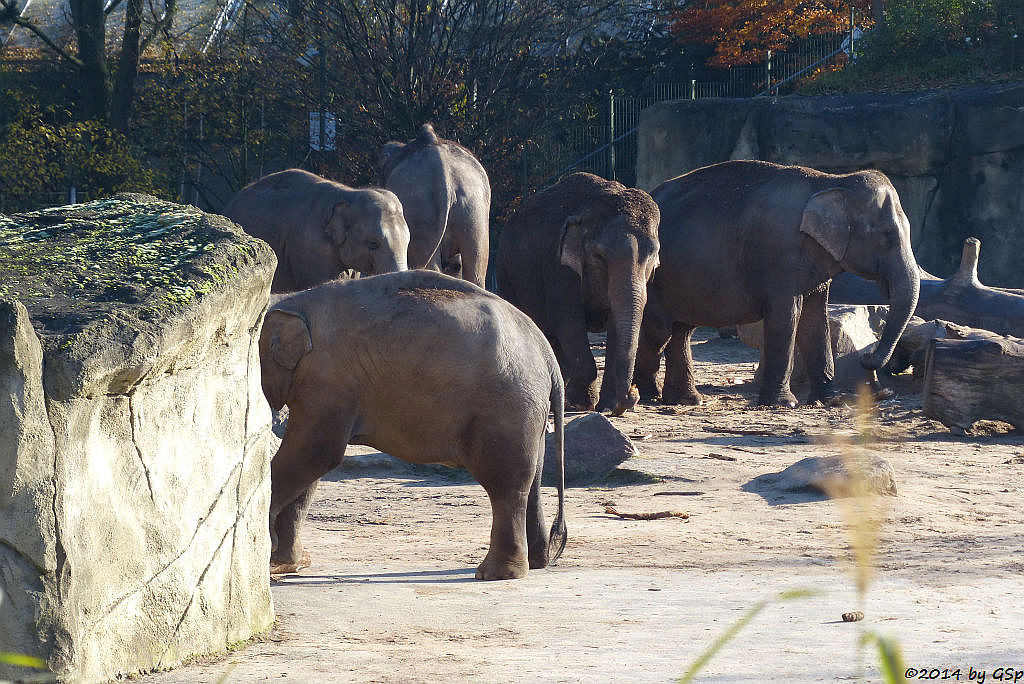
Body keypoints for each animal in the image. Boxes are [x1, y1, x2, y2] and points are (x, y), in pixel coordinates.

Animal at [260, 270, 569, 581]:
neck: (291, 299)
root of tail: (548, 356)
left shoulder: (327, 379)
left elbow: (316, 454)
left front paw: (270, 558)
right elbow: (310, 469)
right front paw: (287, 564)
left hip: (505, 406)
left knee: (505, 484)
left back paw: (495, 574)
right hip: (529, 411)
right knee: (532, 480)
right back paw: (537, 561)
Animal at [497, 174, 659, 413]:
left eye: (652, 255)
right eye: (599, 255)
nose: (634, 392)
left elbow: (616, 322)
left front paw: (606, 407)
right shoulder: (559, 267)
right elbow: (566, 317)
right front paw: (581, 402)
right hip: (505, 273)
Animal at [638, 158, 921, 405]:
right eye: (887, 235)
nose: (866, 356)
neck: (830, 181)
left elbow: (814, 319)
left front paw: (831, 401)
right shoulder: (777, 253)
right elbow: (787, 316)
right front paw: (784, 403)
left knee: (681, 330)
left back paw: (687, 400)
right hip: (655, 279)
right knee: (659, 330)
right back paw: (648, 396)